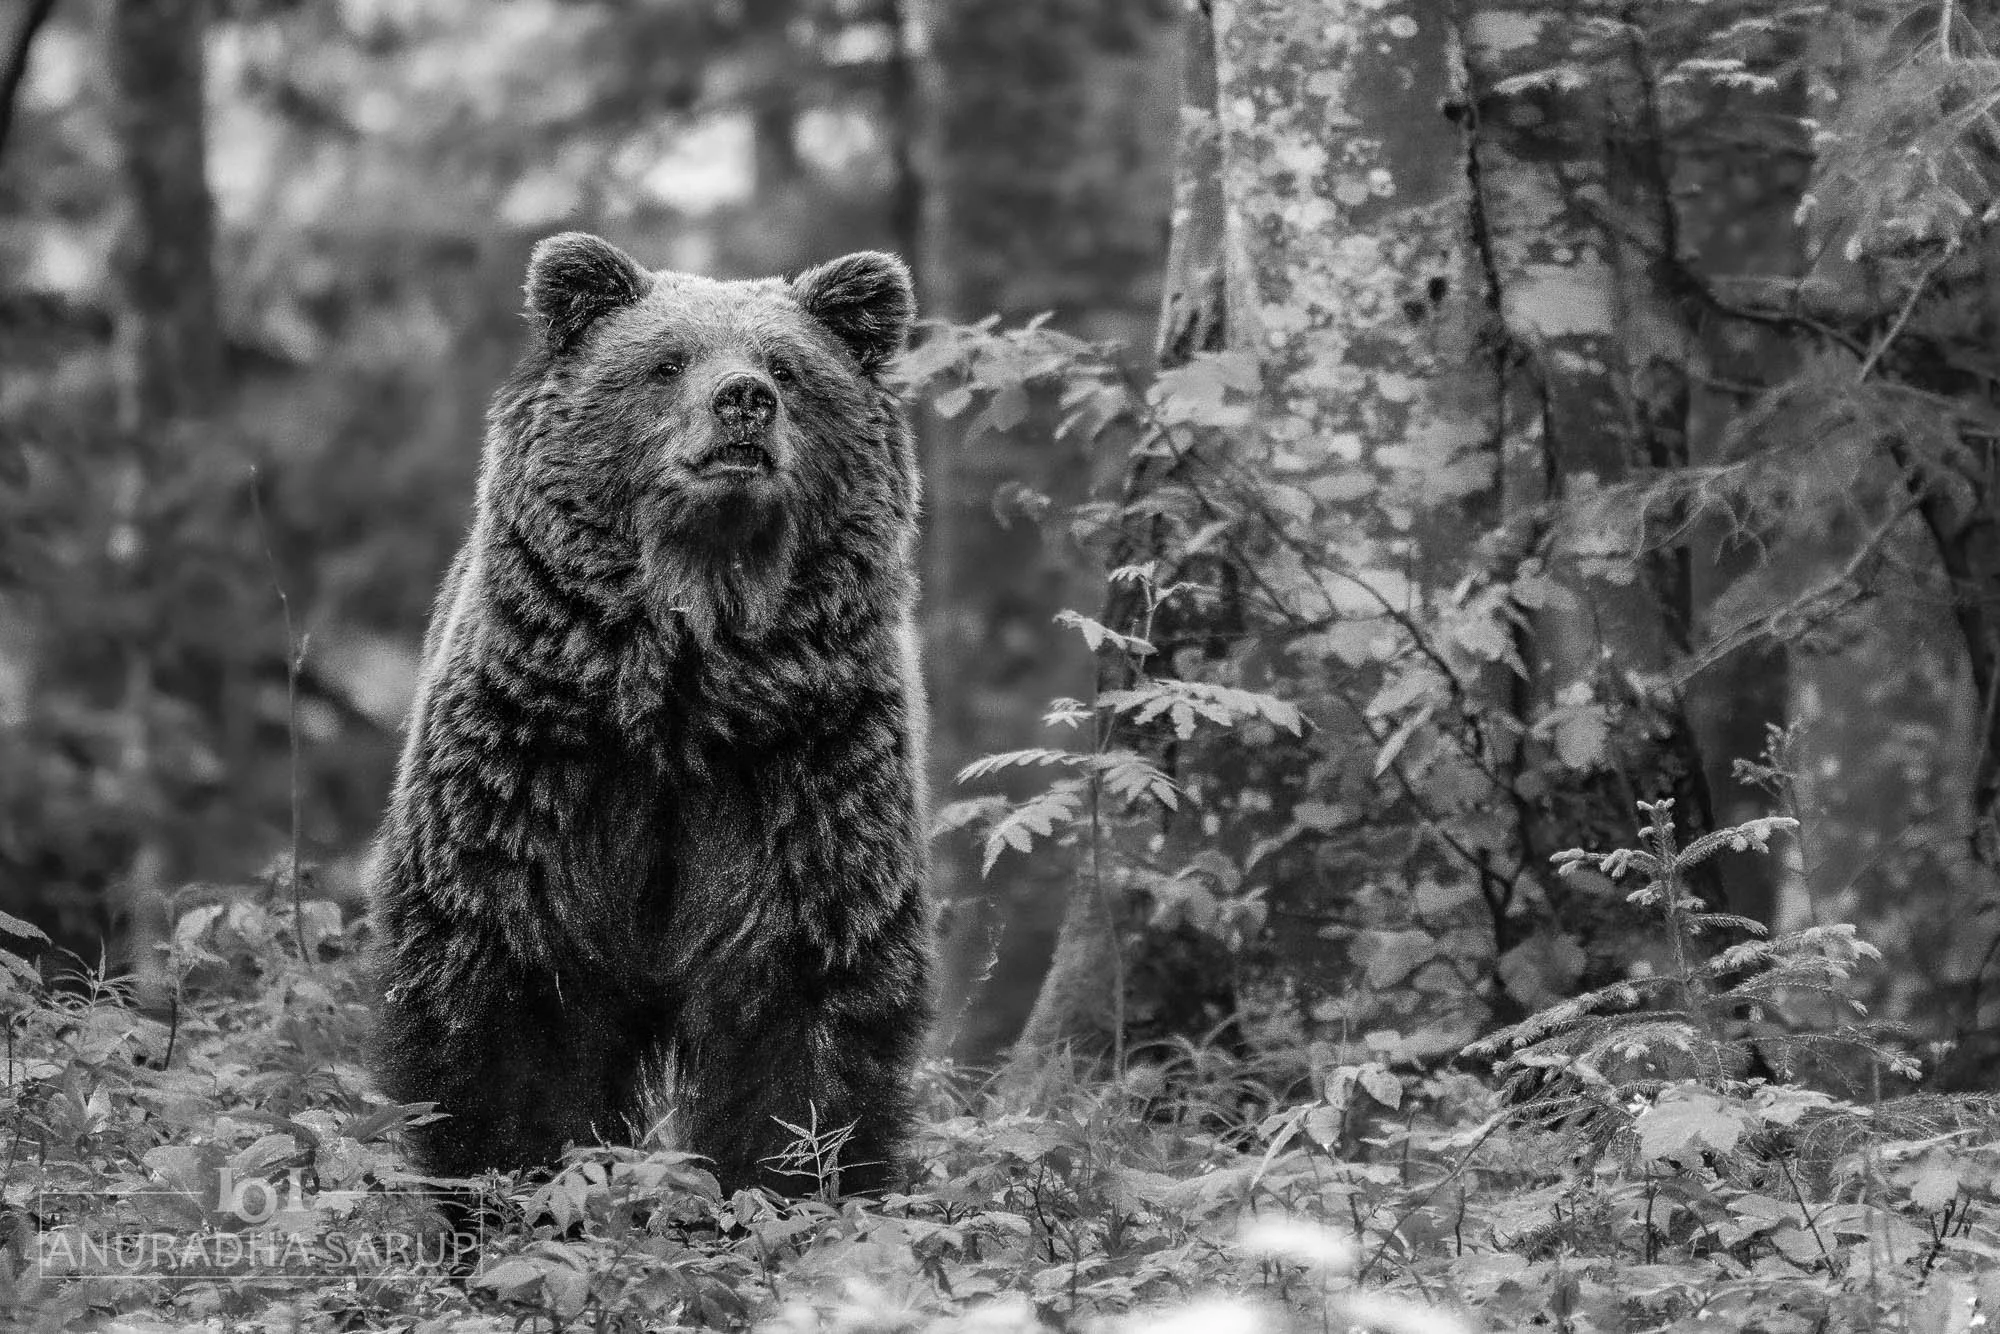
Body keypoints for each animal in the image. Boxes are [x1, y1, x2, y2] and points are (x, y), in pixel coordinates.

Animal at [369, 232, 933, 1198]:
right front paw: (514, 1182)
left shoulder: (805, 770)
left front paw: (789, 1182)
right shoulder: (540, 763)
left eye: (787, 367)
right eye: (667, 362)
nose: (743, 400)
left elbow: (803, 996)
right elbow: (508, 991)